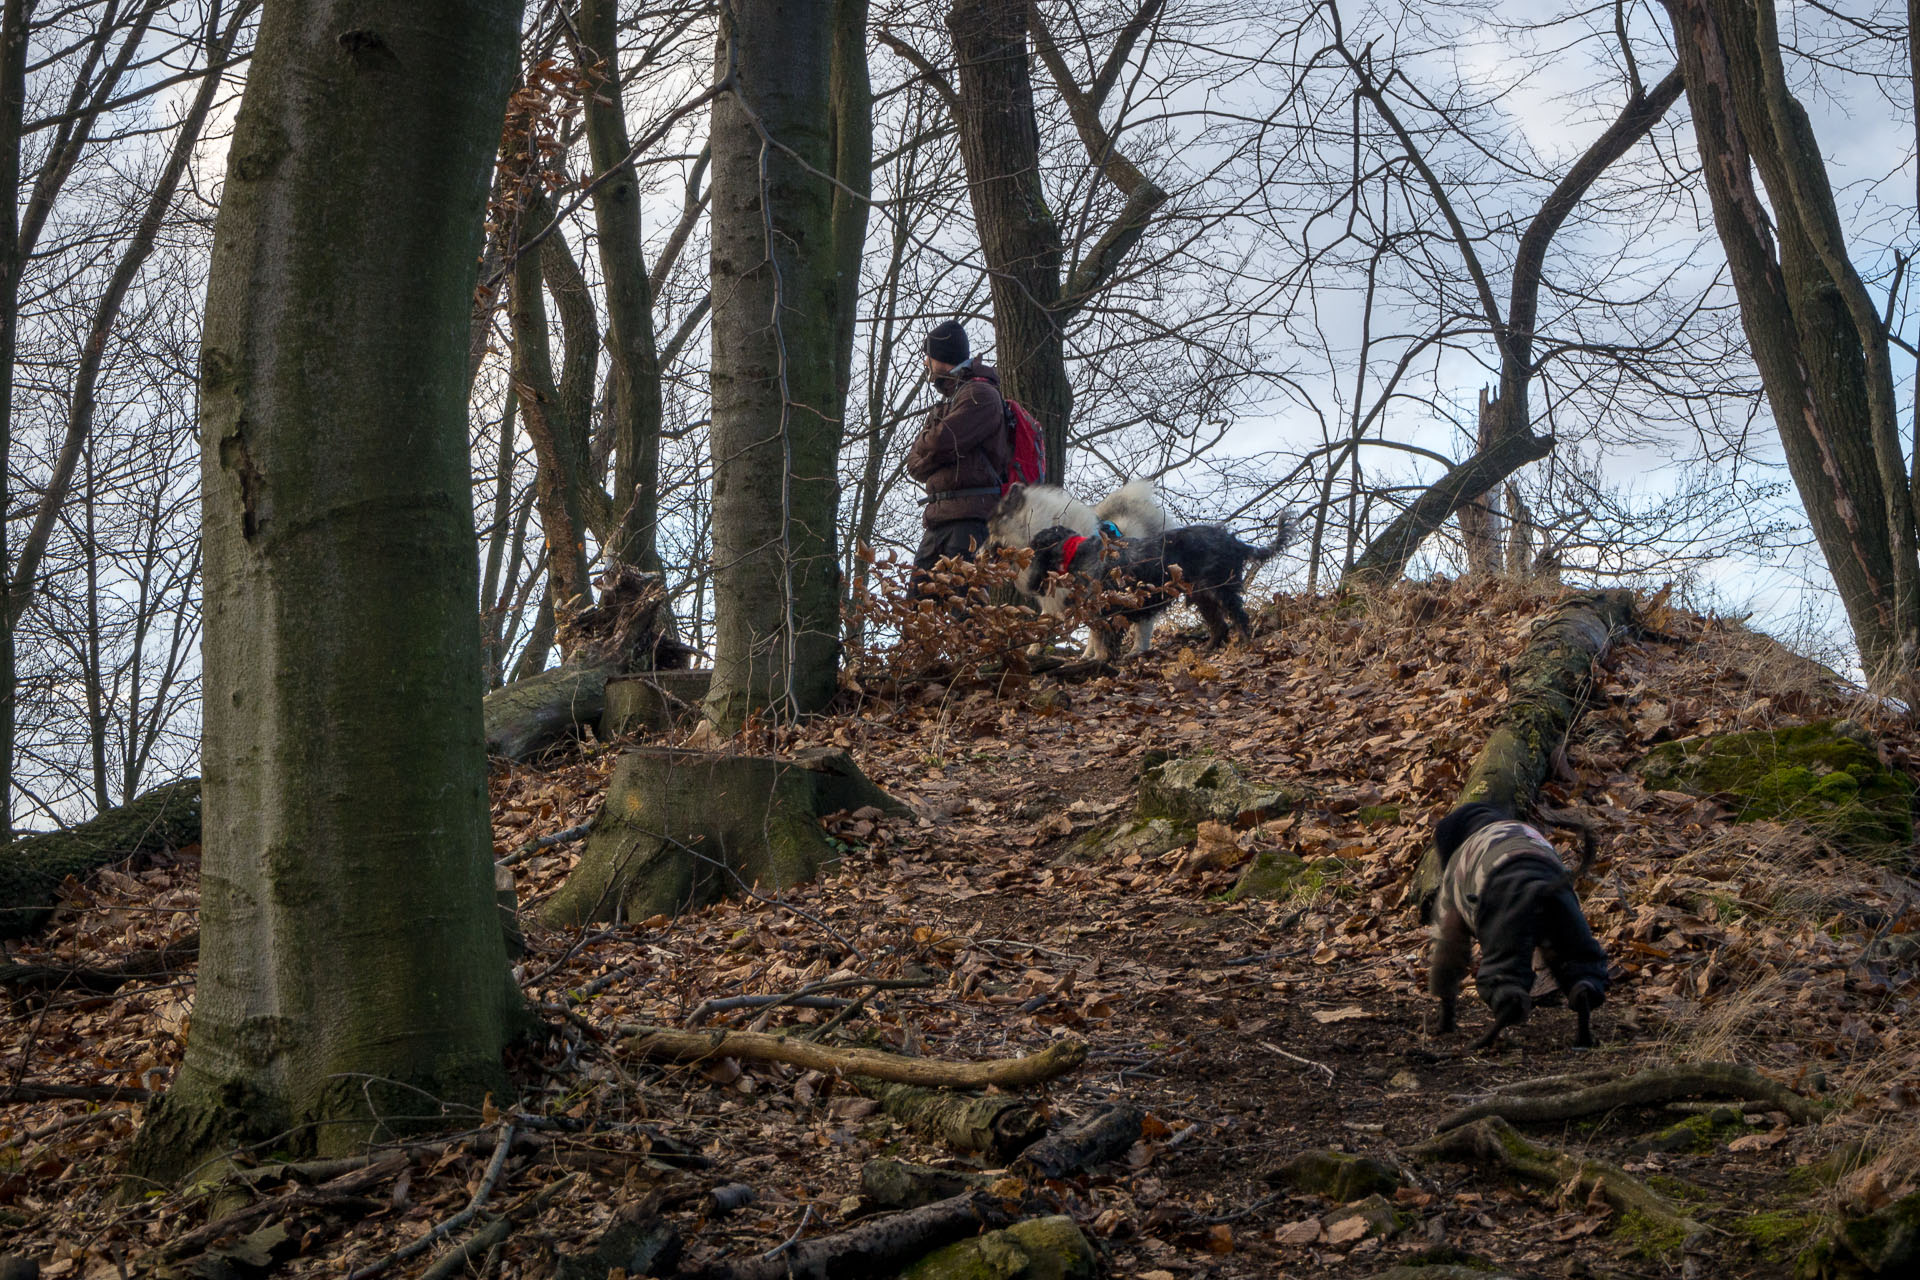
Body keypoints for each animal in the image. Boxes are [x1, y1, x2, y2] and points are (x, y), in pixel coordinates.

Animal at [1013, 514, 1297, 660]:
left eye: (1034, 548)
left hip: (1220, 590)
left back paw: (1244, 644)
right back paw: (1207, 649)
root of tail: (1235, 542)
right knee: (1219, 625)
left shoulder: (1108, 612)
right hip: (1202, 595)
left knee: (1238, 617)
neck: (1077, 552)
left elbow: (1104, 643)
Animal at [1428, 802, 1605, 1051]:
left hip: (1503, 947)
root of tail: (1541, 885)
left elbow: (1446, 980)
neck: (1483, 820)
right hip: (1571, 938)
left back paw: (1482, 1042)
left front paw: (1444, 1026)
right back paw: (1584, 1037)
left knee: (1510, 999)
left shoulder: (1449, 919)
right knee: (1584, 984)